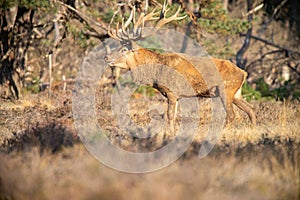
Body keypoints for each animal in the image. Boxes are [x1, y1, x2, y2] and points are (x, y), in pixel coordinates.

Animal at [104, 2, 256, 133]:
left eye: (124, 49)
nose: (106, 57)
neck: (155, 74)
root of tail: (244, 73)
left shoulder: (172, 92)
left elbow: (169, 116)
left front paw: (169, 133)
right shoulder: (176, 96)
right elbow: (173, 115)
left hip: (226, 89)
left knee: (232, 115)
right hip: (236, 93)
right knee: (250, 109)